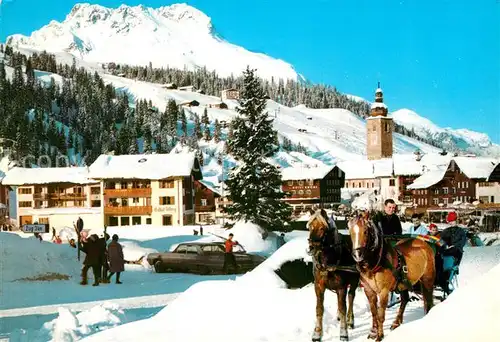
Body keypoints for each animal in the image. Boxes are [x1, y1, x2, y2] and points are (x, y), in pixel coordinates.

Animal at [306, 210, 362, 340]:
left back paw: (350, 320)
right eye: (310, 227)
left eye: (322, 228)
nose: (311, 248)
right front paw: (317, 333)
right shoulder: (319, 286)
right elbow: (319, 308)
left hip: (354, 281)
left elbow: (343, 308)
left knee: (351, 297)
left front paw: (343, 332)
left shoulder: (341, 287)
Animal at [346, 212, 436, 340]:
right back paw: (396, 322)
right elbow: (374, 312)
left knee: (428, 299)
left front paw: (379, 336)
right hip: (404, 283)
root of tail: (423, 244)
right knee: (405, 299)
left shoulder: (383, 292)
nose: (358, 254)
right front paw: (373, 332)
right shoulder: (369, 290)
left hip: (428, 279)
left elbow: (380, 315)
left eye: (366, 231)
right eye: (350, 232)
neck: (375, 263)